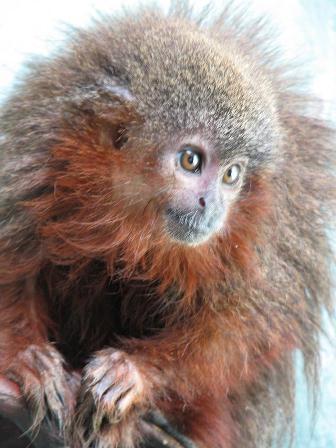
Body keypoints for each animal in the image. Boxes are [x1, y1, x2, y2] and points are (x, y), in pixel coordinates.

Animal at [0, 2, 334, 448]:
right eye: (191, 160)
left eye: (231, 175)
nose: (212, 206)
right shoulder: (33, 158)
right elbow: (13, 266)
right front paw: (28, 361)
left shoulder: (268, 231)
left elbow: (246, 328)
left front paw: (134, 376)